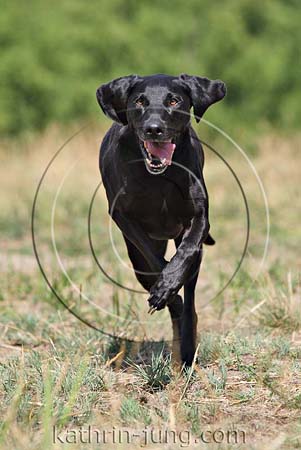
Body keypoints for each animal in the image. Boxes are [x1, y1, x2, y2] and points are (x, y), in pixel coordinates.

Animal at [96, 74, 225, 366]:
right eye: (140, 101)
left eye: (174, 100)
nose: (154, 129)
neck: (159, 179)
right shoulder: (124, 217)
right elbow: (154, 260)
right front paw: (164, 289)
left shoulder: (199, 217)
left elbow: (186, 252)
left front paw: (168, 284)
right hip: (136, 261)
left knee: (190, 298)